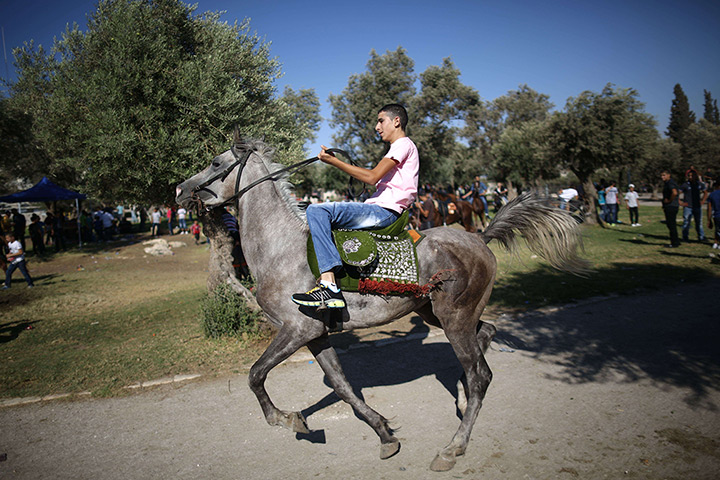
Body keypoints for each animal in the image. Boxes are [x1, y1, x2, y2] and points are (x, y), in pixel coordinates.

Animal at [176, 137, 589, 472]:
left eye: (215, 161)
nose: (180, 189)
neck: (280, 247)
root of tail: (479, 237)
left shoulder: (297, 329)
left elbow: (255, 374)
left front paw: (286, 419)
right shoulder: (315, 334)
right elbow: (343, 386)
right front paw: (385, 434)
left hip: (454, 318)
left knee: (480, 375)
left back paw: (453, 448)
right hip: (438, 313)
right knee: (486, 336)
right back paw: (458, 393)